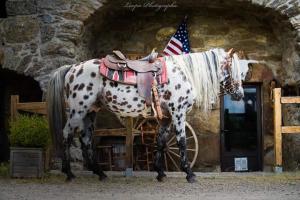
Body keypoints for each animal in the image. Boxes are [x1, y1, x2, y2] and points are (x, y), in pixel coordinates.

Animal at [47, 48, 252, 183]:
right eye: (234, 69)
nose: (240, 94)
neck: (185, 73)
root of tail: (72, 68)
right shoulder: (178, 113)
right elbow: (181, 142)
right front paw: (189, 174)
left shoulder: (166, 118)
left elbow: (161, 142)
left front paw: (160, 173)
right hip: (78, 110)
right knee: (67, 135)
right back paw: (69, 173)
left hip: (90, 112)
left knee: (86, 140)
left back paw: (100, 173)